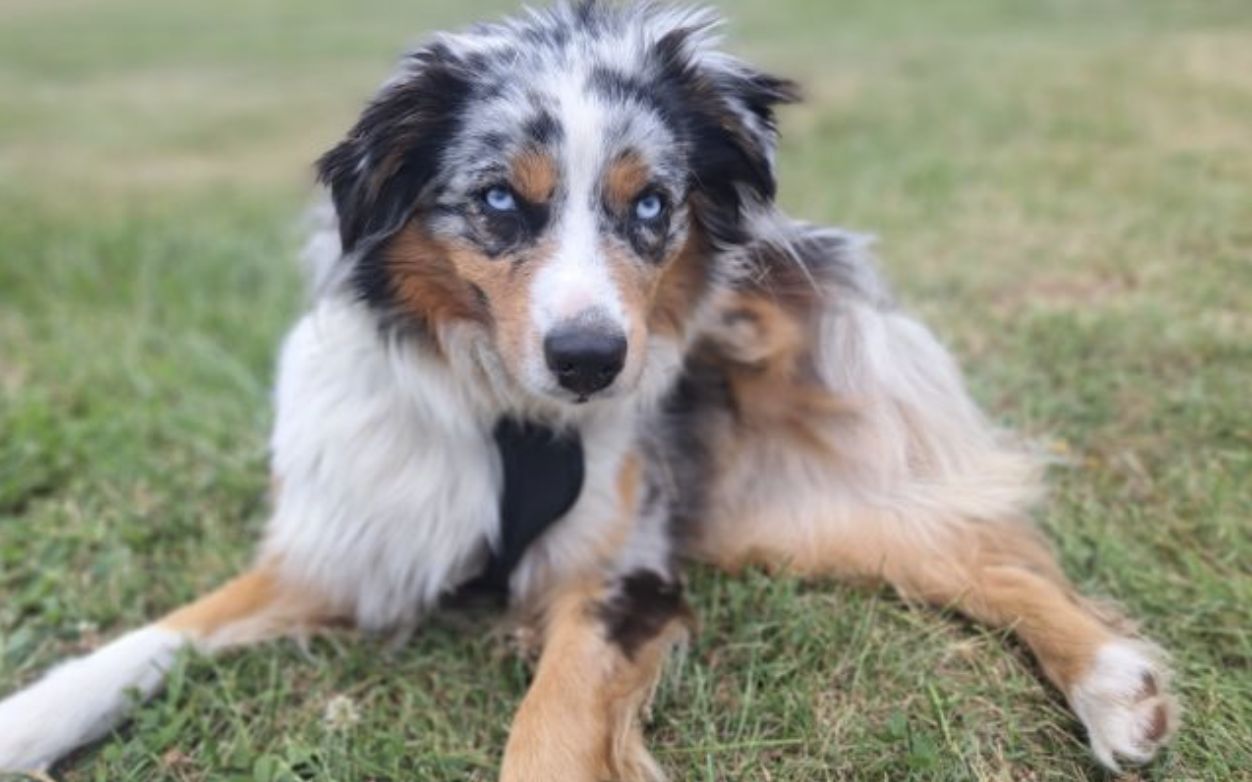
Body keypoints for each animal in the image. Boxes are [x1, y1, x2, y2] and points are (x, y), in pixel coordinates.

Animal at [0, 3, 1171, 775]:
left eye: (650, 204)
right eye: (496, 202)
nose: (591, 360)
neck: (511, 423)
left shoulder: (622, 574)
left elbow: (551, 730)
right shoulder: (352, 538)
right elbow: (151, 638)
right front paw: (26, 721)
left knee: (992, 557)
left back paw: (1115, 685)